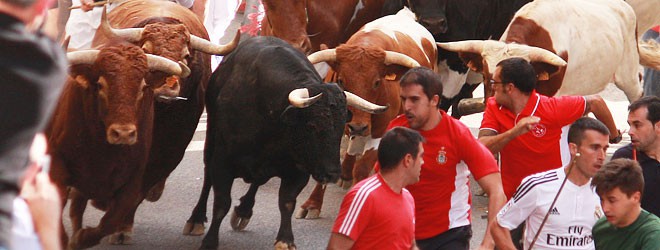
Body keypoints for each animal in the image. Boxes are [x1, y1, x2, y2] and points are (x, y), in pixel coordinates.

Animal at [183, 36, 384, 249]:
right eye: (312, 125)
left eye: (340, 126)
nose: (332, 173)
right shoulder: (223, 162)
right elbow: (222, 202)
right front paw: (210, 241)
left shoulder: (299, 170)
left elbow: (287, 202)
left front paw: (285, 239)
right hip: (211, 141)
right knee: (208, 177)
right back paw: (196, 219)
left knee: (257, 181)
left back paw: (244, 210)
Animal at [298, 7, 438, 219]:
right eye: (341, 80)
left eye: (377, 82)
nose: (358, 125)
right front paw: (312, 203)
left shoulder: (380, 130)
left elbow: (363, 166)